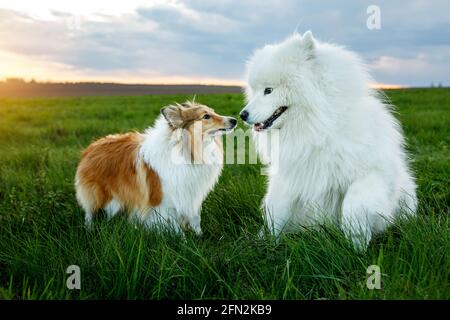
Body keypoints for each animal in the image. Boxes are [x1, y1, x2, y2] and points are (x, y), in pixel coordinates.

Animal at [74, 102, 236, 235]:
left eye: (213, 111)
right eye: (206, 116)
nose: (234, 120)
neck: (186, 150)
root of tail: (92, 146)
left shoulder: (191, 195)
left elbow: (195, 218)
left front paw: (199, 236)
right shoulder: (165, 202)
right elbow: (174, 226)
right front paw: (184, 243)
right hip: (96, 193)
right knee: (89, 212)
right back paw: (89, 230)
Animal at [241, 30, 416, 250]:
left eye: (268, 90)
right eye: (255, 90)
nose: (242, 115)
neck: (319, 127)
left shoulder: (372, 174)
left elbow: (353, 205)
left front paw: (356, 243)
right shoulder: (290, 179)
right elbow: (276, 211)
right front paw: (268, 242)